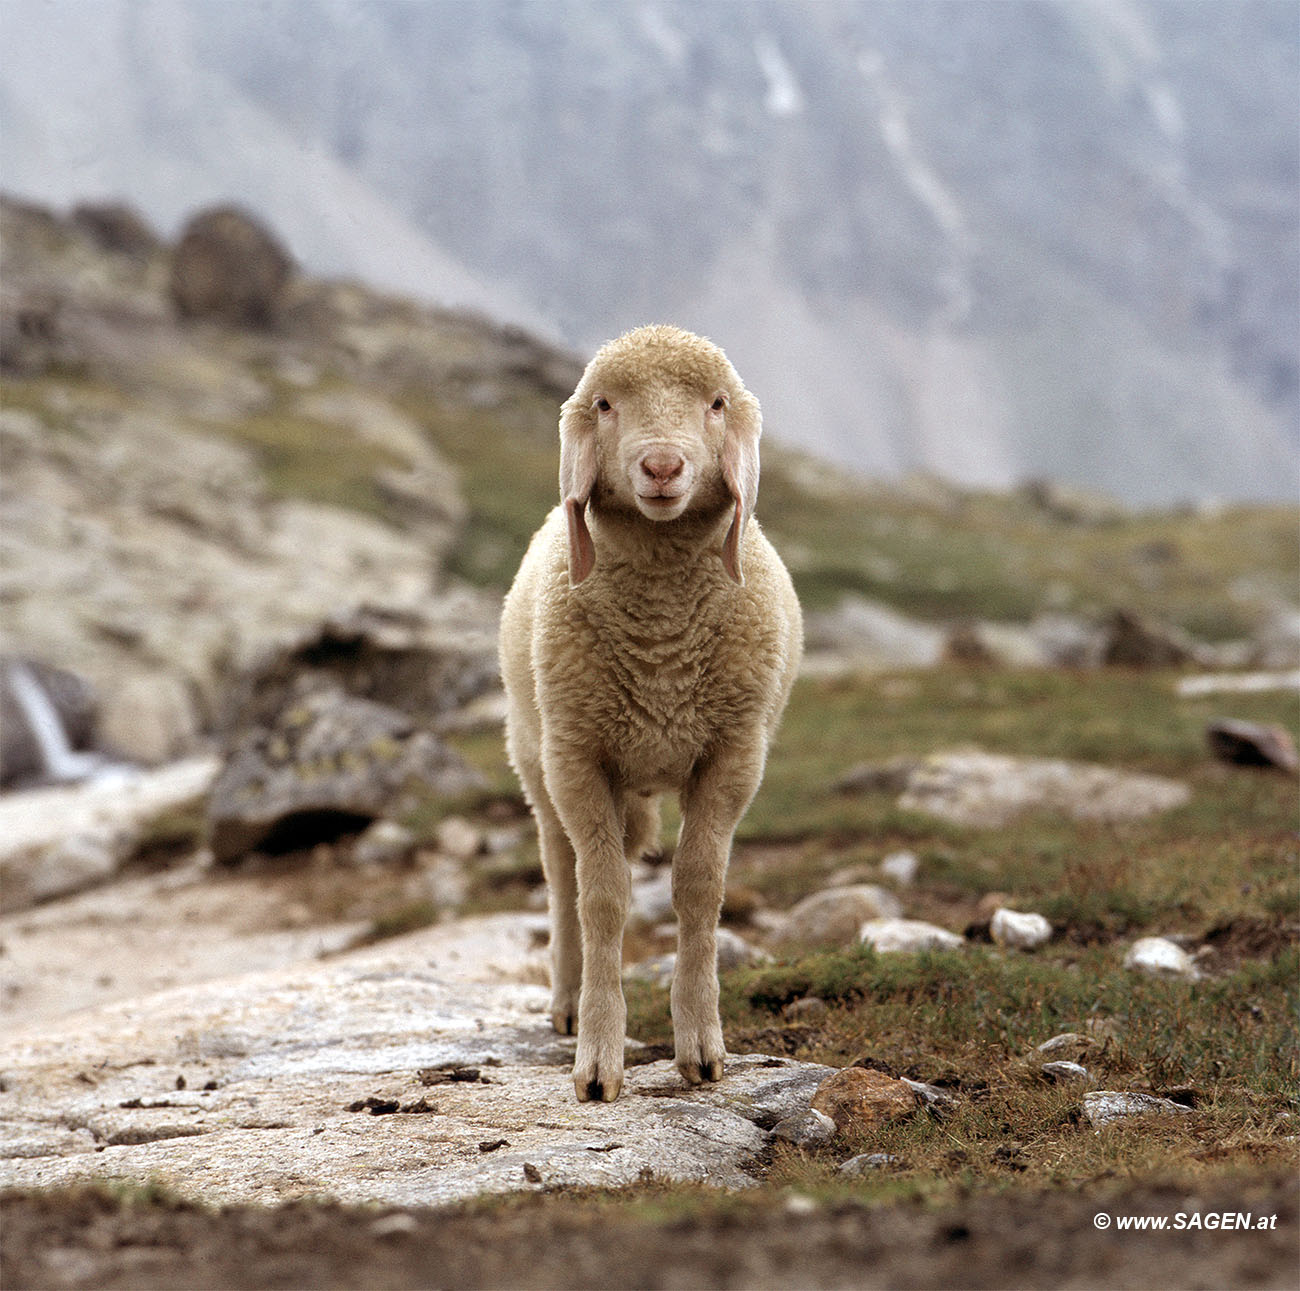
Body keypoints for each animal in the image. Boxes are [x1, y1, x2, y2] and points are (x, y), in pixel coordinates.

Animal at [499, 322, 795, 1097]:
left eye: (716, 403)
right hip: (536, 763)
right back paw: (568, 1001)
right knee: (561, 874)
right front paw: (598, 1060)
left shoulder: (733, 755)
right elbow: (601, 898)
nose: (662, 466)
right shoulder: (577, 759)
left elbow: (699, 889)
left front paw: (701, 1045)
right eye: (605, 404)